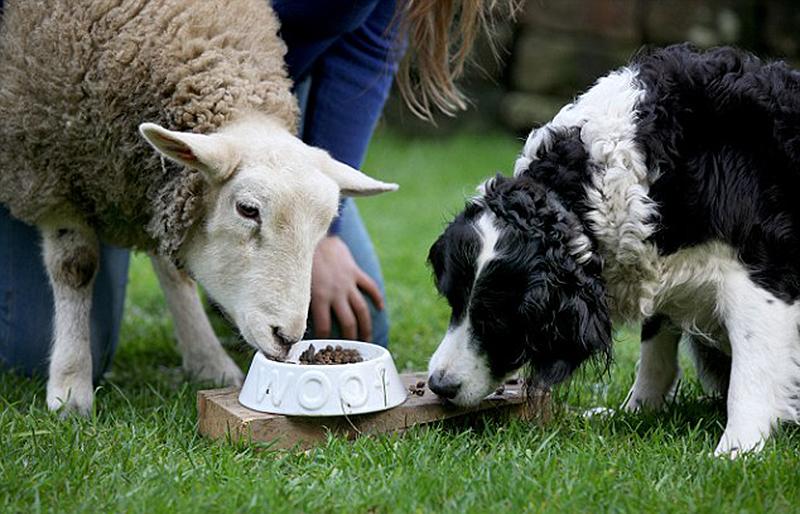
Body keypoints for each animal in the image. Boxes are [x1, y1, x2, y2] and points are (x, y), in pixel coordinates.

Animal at [0, 0, 398, 414]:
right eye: (247, 210)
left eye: (323, 228)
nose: (287, 339)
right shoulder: (46, 167)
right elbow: (75, 267)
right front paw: (70, 386)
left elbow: (176, 271)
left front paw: (209, 361)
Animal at [428, 43, 800, 452]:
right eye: (453, 303)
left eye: (496, 319)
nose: (439, 385)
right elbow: (655, 344)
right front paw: (637, 410)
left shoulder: (762, 272)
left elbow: (752, 371)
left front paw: (736, 449)